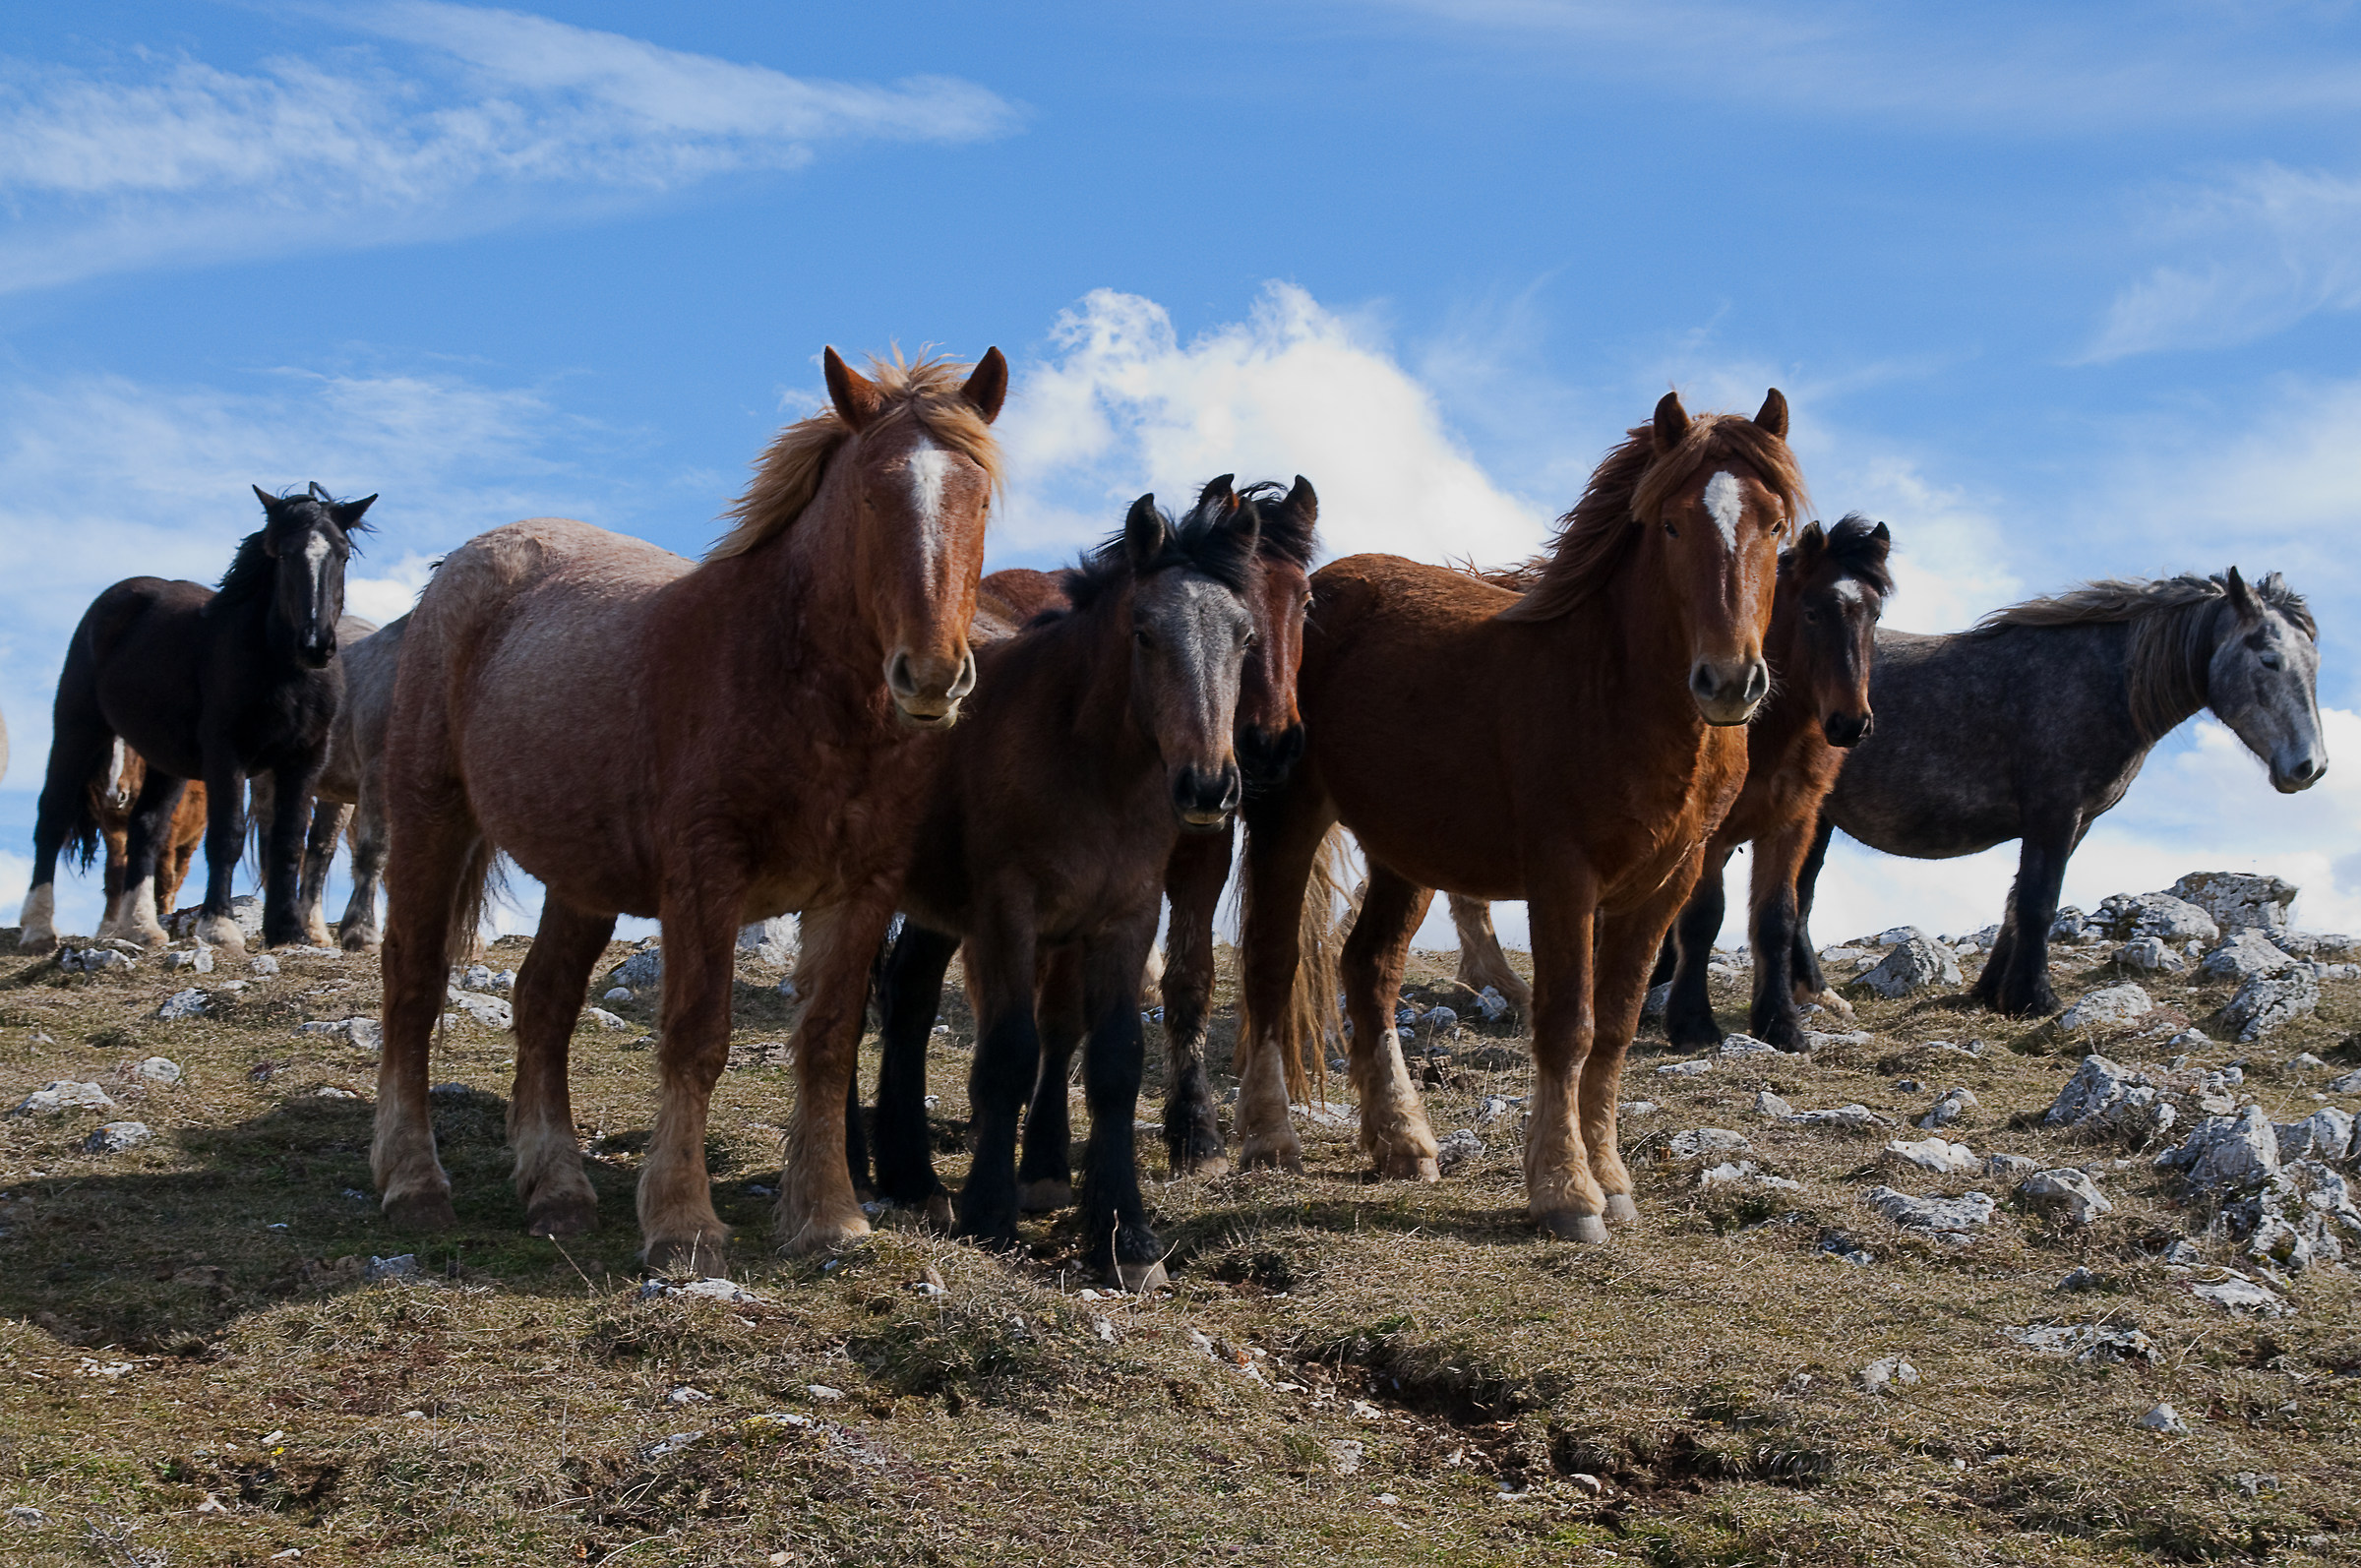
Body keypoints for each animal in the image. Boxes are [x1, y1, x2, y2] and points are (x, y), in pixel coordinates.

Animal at [18, 484, 373, 955]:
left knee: (145, 828)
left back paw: (140, 927)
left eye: (342, 555)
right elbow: (228, 836)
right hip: (78, 727)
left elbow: (289, 840)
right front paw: (219, 926)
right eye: (282, 554)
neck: (282, 669)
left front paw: (288, 931)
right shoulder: (227, 756)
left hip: (162, 761)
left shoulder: (304, 760)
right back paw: (38, 928)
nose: (315, 644)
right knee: (53, 815)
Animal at [371, 348, 1006, 1271]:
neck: (791, 681)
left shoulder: (861, 888)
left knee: (543, 1004)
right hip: (432, 820)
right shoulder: (707, 879)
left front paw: (829, 1216)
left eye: (981, 497)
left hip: (582, 880)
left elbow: (826, 1044)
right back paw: (414, 1183)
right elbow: (697, 1039)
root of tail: (460, 567)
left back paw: (557, 1188)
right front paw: (682, 1223)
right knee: (414, 987)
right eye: (869, 496)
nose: (930, 677)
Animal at [859, 484, 1261, 1287]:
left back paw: (911, 1177)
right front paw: (990, 1212)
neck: (1088, 766)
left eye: (1244, 638)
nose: (1208, 787)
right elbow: (1010, 1052)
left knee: (910, 998)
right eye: (1144, 633)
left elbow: (1115, 1063)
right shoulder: (1007, 914)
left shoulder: (1126, 918)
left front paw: (1124, 1236)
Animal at [1234, 391, 1806, 1242]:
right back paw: (1271, 1139)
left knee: (1368, 969)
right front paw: (1567, 1191)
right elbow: (1567, 1026)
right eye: (1673, 525)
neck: (1615, 689)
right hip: (1288, 817)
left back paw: (1403, 1144)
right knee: (1273, 964)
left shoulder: (1663, 885)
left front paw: (1611, 1178)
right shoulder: (1563, 876)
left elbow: (1616, 1027)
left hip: (1406, 853)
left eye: (1773, 526)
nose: (1730, 681)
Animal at [1792, 569, 2327, 1017]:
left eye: (2314, 663)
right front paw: (2034, 999)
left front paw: (1992, 992)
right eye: (2269, 660)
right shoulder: (2054, 813)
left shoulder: (2077, 822)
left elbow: (2017, 903)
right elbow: (2039, 902)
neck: (2103, 684)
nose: (2311, 767)